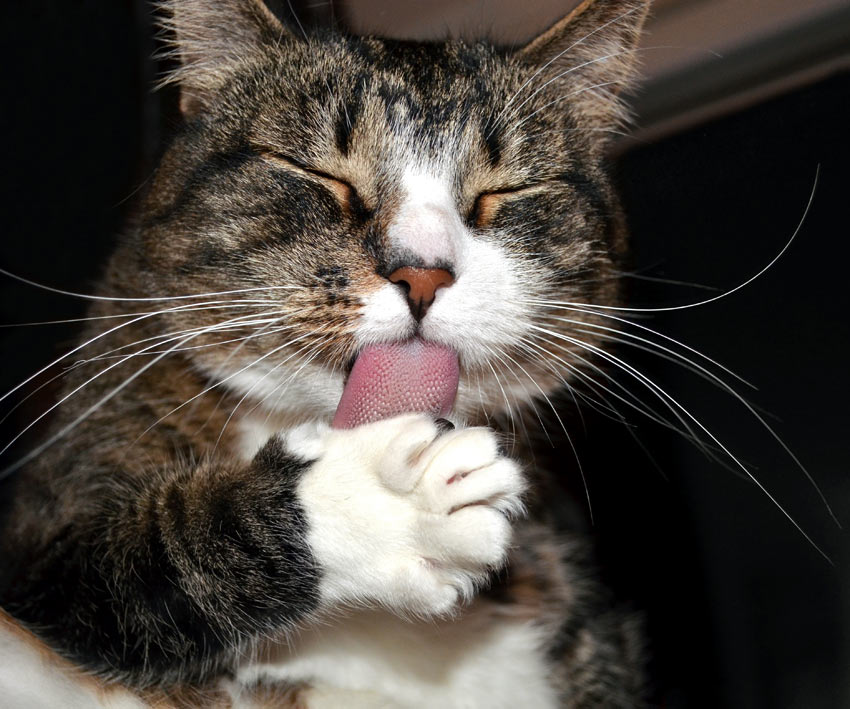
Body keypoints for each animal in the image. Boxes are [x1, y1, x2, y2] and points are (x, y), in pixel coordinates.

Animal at [0, 0, 648, 704]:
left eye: (504, 193)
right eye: (320, 175)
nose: (424, 273)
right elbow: (153, 552)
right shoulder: (44, 548)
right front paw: (383, 504)